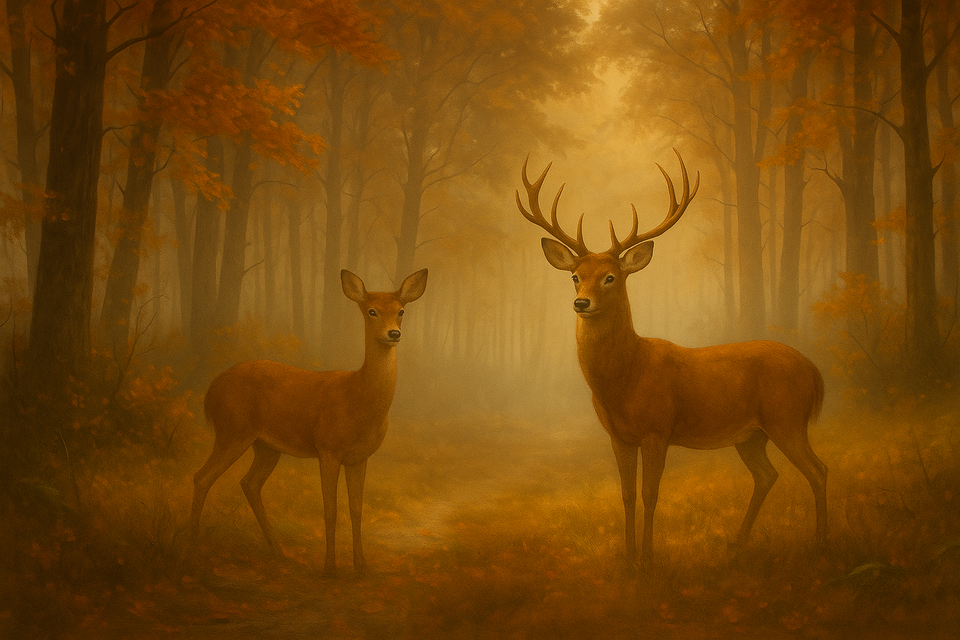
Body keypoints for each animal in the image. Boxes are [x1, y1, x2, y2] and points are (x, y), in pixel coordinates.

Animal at [189, 268, 428, 575]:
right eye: (372, 311)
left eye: (401, 311)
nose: (394, 333)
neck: (357, 398)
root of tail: (211, 390)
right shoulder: (328, 449)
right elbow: (330, 509)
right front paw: (330, 568)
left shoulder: (358, 457)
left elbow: (357, 509)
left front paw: (361, 566)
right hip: (232, 429)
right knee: (202, 477)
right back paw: (190, 547)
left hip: (265, 445)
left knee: (249, 483)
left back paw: (278, 551)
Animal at [516, 150, 827, 571]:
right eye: (575, 276)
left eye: (611, 277)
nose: (581, 303)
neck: (625, 379)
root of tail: (814, 371)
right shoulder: (619, 436)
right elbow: (626, 495)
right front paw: (628, 558)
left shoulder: (658, 429)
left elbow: (650, 494)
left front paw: (648, 560)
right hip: (751, 435)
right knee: (767, 475)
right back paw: (737, 544)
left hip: (787, 418)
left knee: (818, 470)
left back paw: (822, 544)